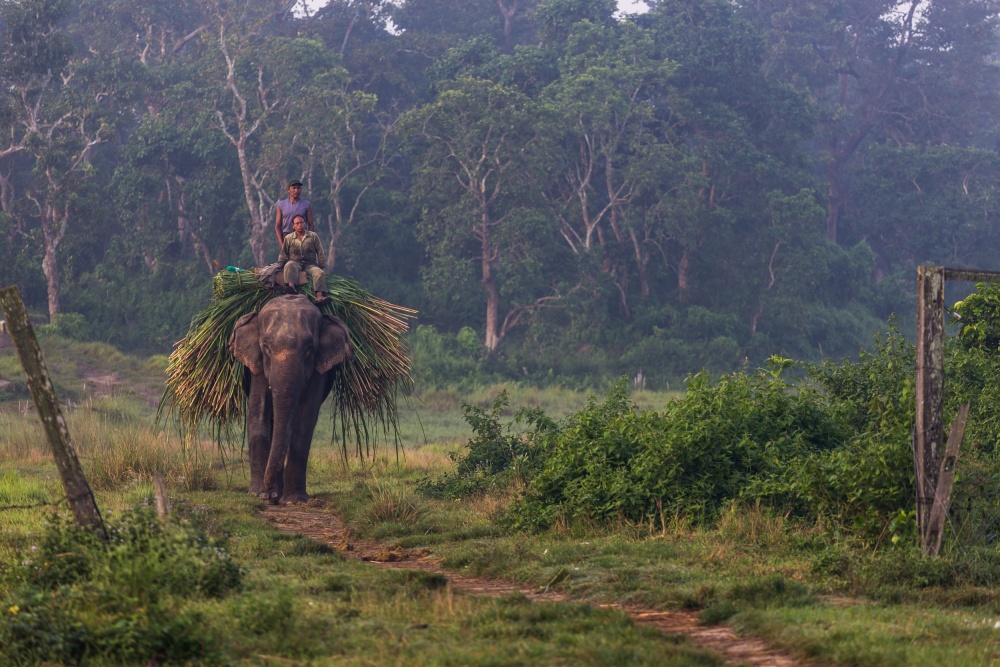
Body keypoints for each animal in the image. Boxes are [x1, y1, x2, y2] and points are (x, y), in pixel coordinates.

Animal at [229, 294, 354, 504]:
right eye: (266, 347)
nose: (269, 489)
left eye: (309, 349)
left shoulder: (319, 369)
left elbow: (305, 420)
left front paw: (293, 500)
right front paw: (260, 494)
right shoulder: (257, 366)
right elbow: (258, 411)